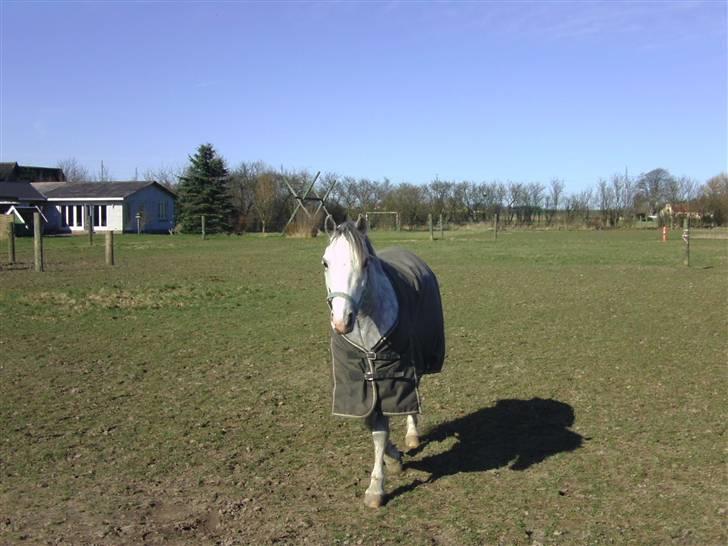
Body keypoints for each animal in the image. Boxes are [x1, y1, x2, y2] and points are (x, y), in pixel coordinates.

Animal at [322, 217, 445, 507]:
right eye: (325, 263)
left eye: (365, 262)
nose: (342, 322)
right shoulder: (359, 384)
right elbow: (373, 425)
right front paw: (393, 459)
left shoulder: (392, 377)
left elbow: (382, 432)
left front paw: (376, 487)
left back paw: (412, 436)